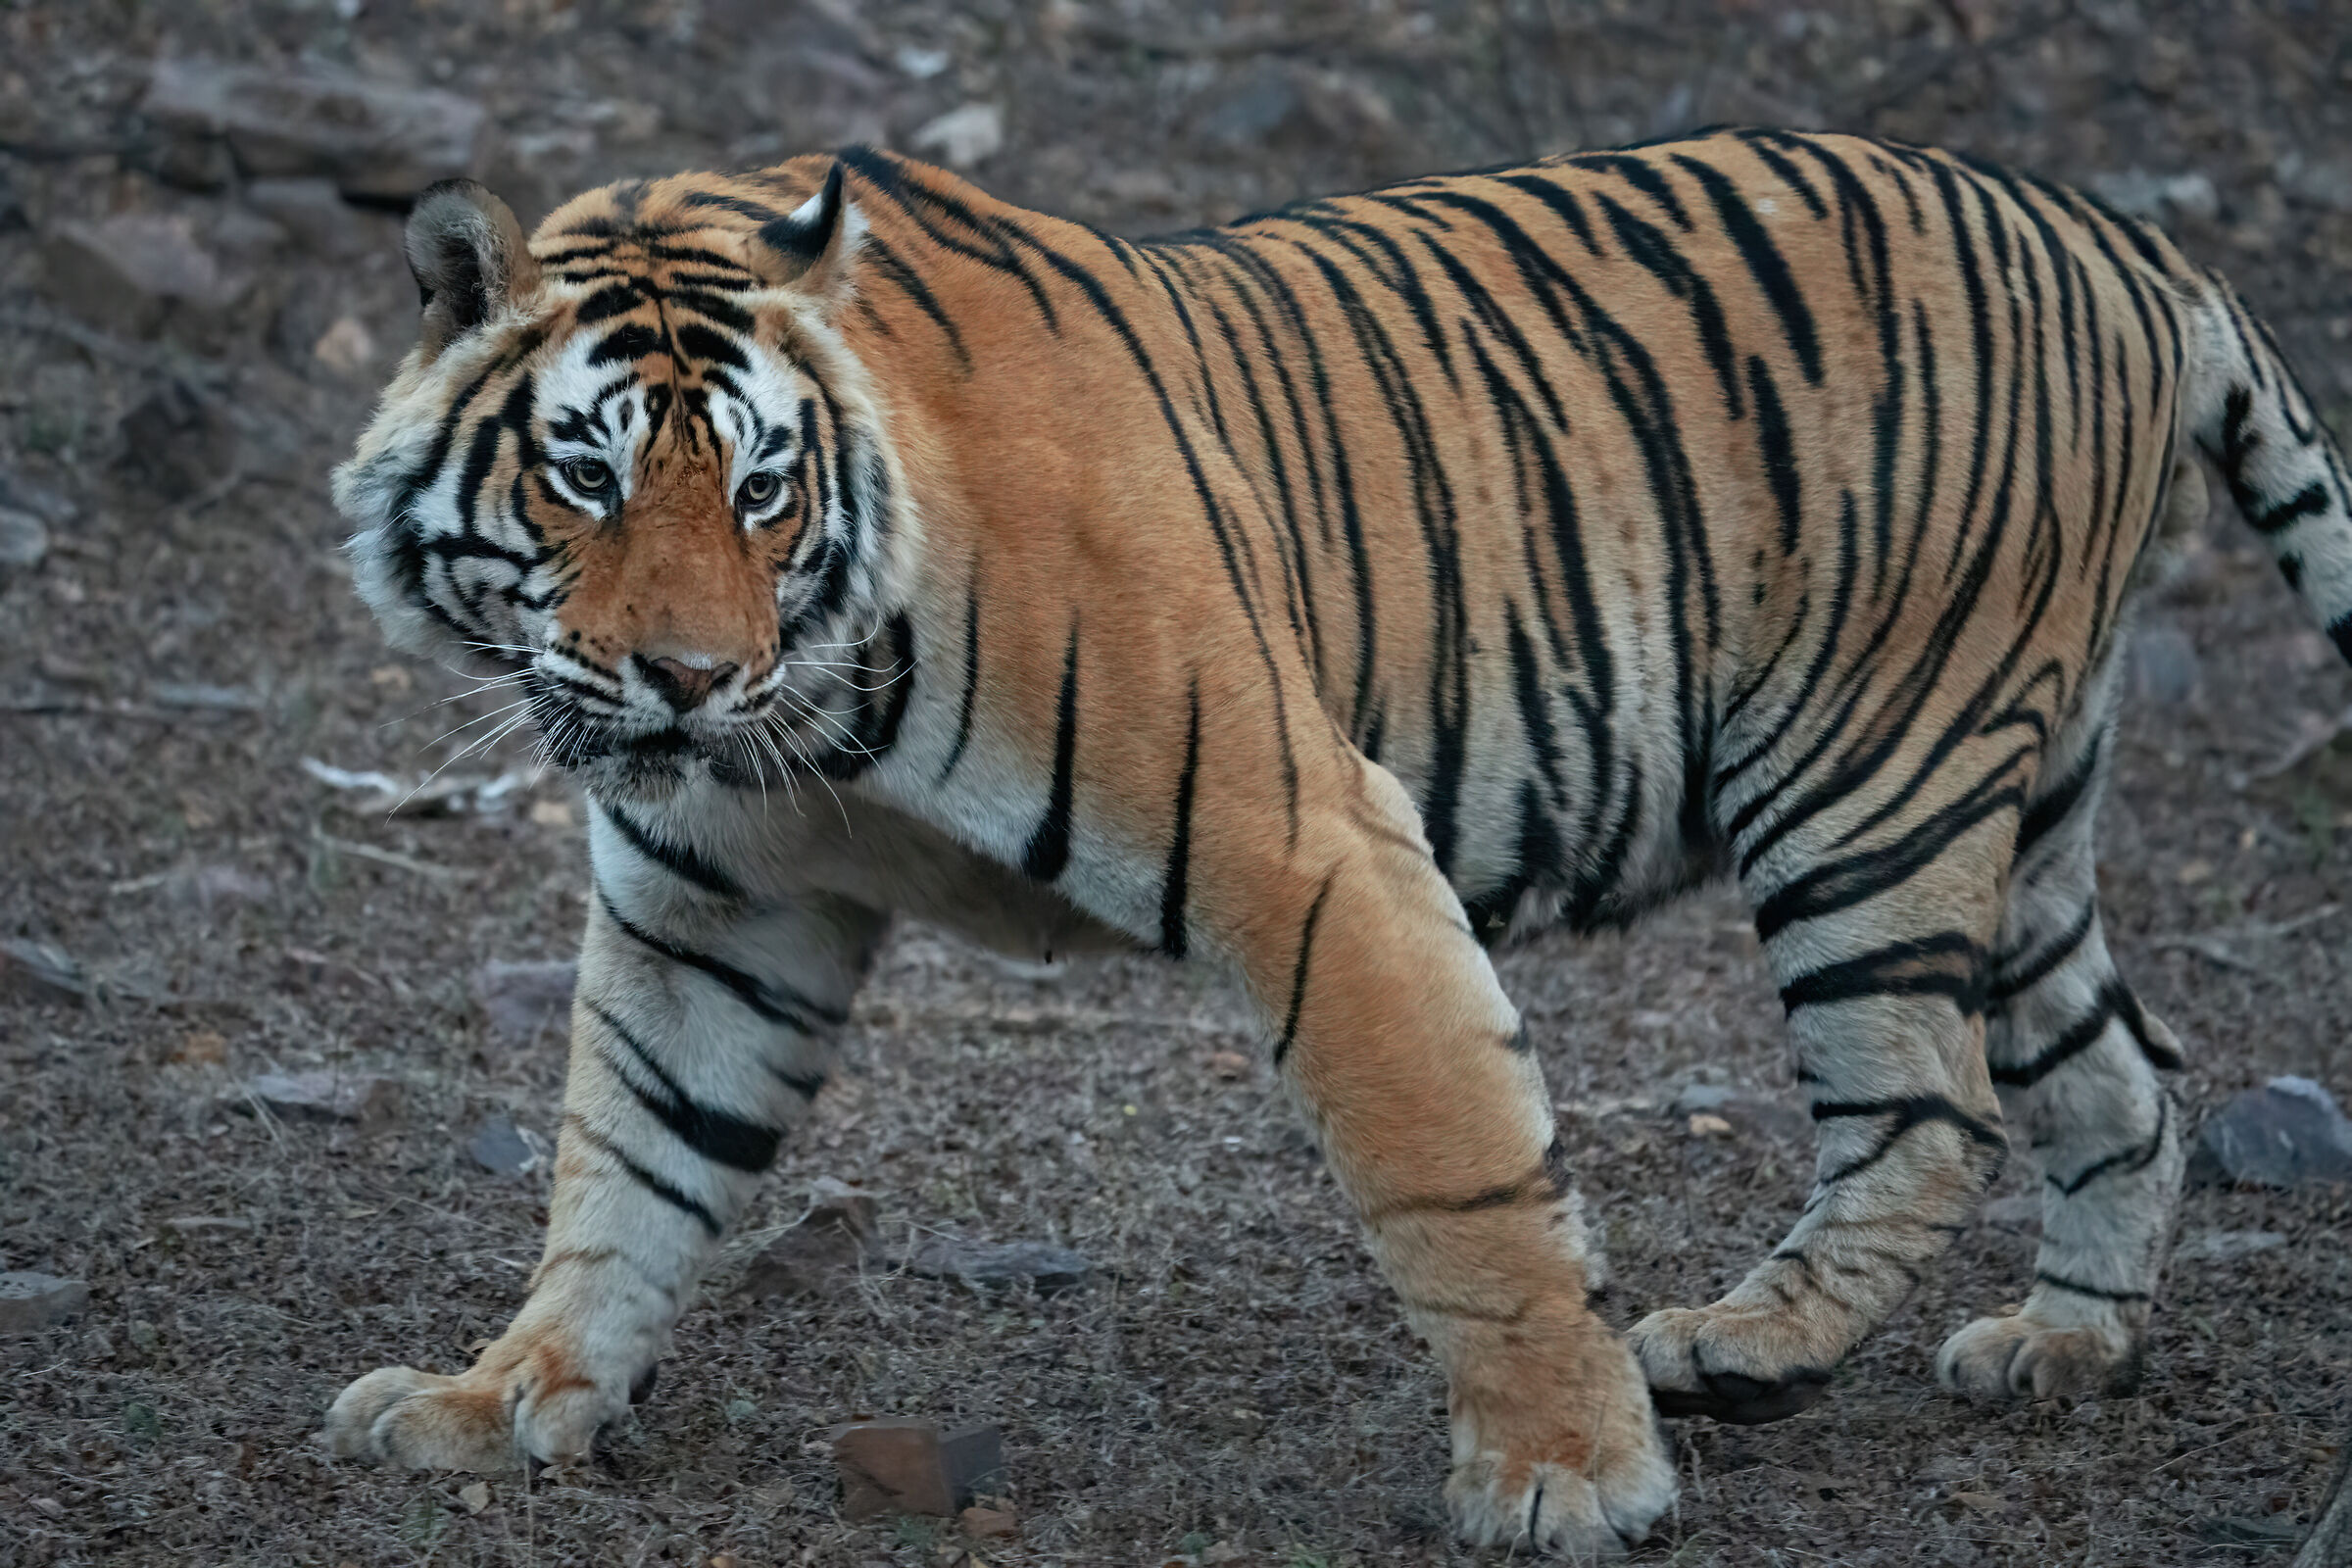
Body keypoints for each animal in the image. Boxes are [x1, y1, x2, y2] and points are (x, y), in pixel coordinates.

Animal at [318, 127, 2352, 1555]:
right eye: (586, 474)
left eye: (757, 484)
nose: (688, 677)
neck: (810, 719)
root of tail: (2119, 238)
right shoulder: (714, 910)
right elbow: (627, 1163)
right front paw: (510, 1397)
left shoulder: (1304, 836)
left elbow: (1456, 1171)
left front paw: (1569, 1479)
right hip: (2017, 808)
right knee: (2125, 1078)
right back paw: (2065, 1347)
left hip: (1871, 780)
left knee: (1933, 1103)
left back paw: (1742, 1350)